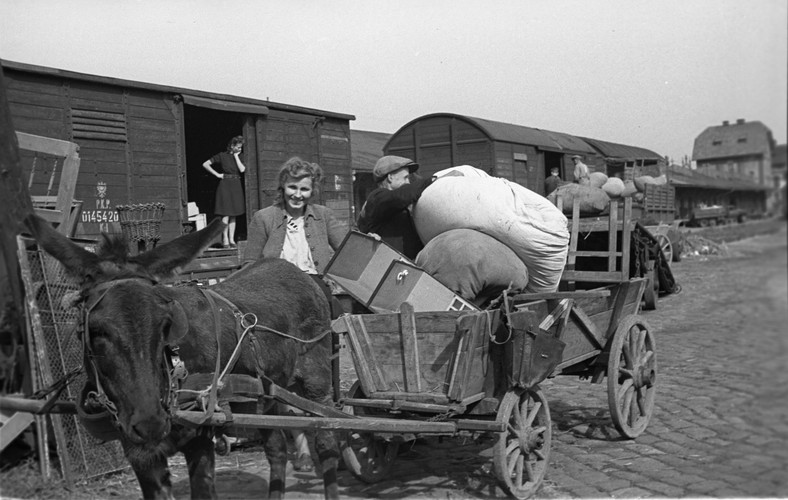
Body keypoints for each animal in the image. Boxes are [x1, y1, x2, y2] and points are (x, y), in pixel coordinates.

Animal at [23, 215, 338, 500]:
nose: (151, 422)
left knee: (327, 438)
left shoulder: (200, 434)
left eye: (166, 324)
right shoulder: (138, 451)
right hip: (266, 395)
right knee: (277, 449)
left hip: (316, 381)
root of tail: (300, 273)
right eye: (95, 330)